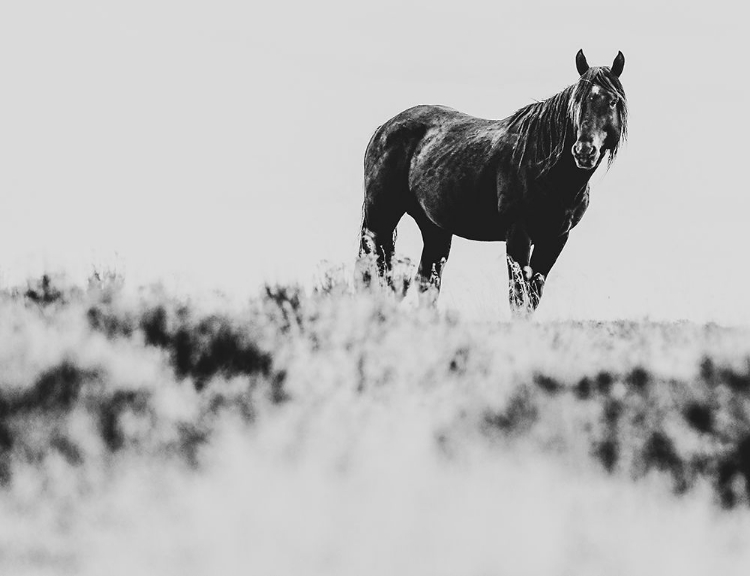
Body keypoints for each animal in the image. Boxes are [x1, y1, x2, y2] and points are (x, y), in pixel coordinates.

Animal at [358, 50, 628, 318]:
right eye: (577, 102)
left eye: (612, 101)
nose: (584, 151)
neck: (543, 165)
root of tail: (384, 128)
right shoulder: (518, 234)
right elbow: (518, 296)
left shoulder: (555, 238)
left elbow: (533, 295)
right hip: (380, 217)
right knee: (373, 271)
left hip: (434, 228)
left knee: (427, 281)